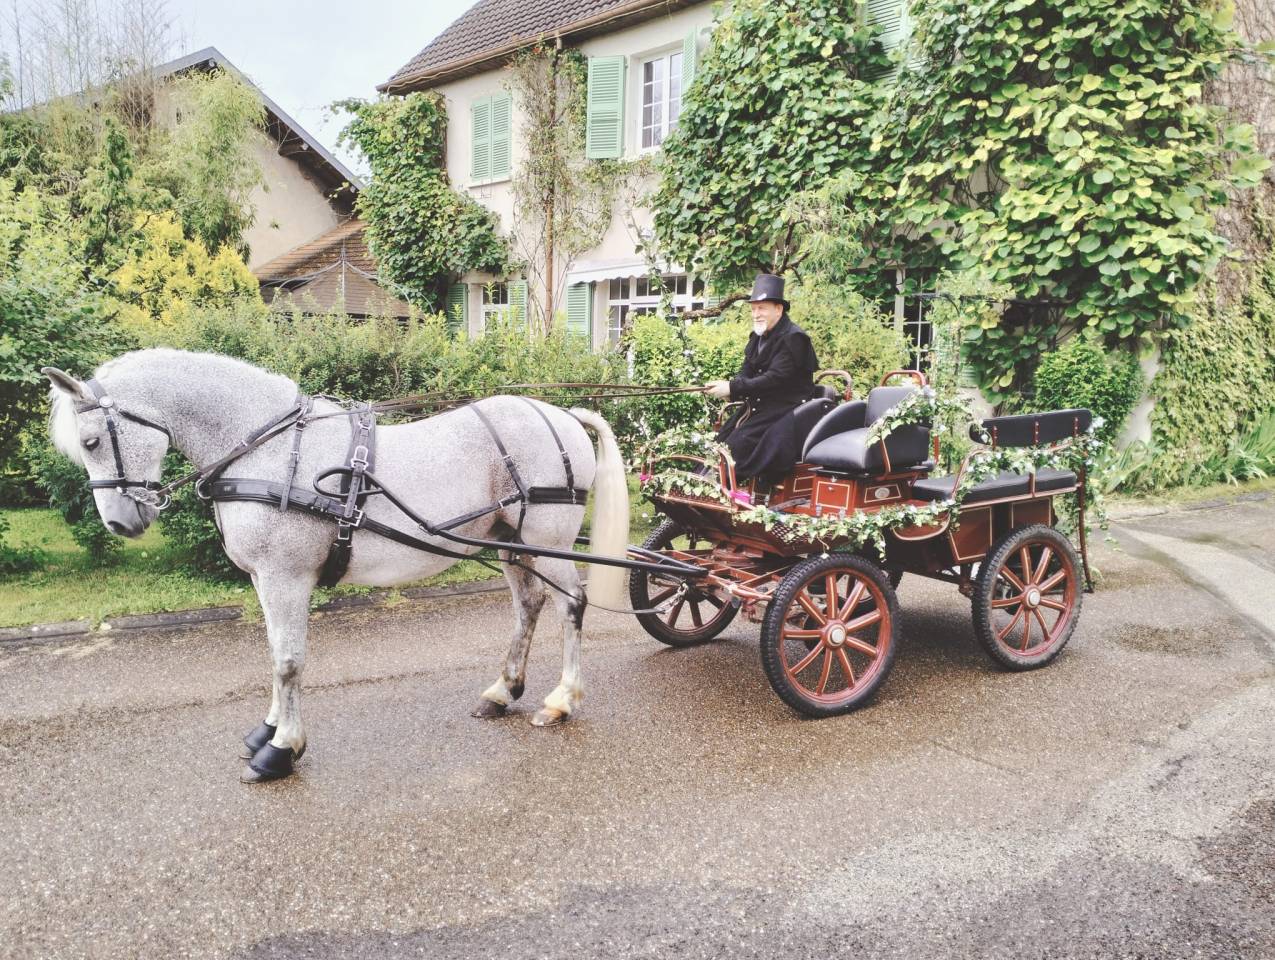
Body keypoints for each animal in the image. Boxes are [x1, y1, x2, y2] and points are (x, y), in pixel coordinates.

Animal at [43, 348, 630, 783]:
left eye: (92, 440)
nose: (120, 523)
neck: (270, 451)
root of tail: (561, 415)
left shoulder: (286, 577)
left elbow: (289, 661)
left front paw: (281, 749)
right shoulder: (265, 580)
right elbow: (274, 654)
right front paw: (267, 730)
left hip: (550, 542)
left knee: (571, 605)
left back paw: (562, 700)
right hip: (513, 544)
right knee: (529, 605)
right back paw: (502, 691)